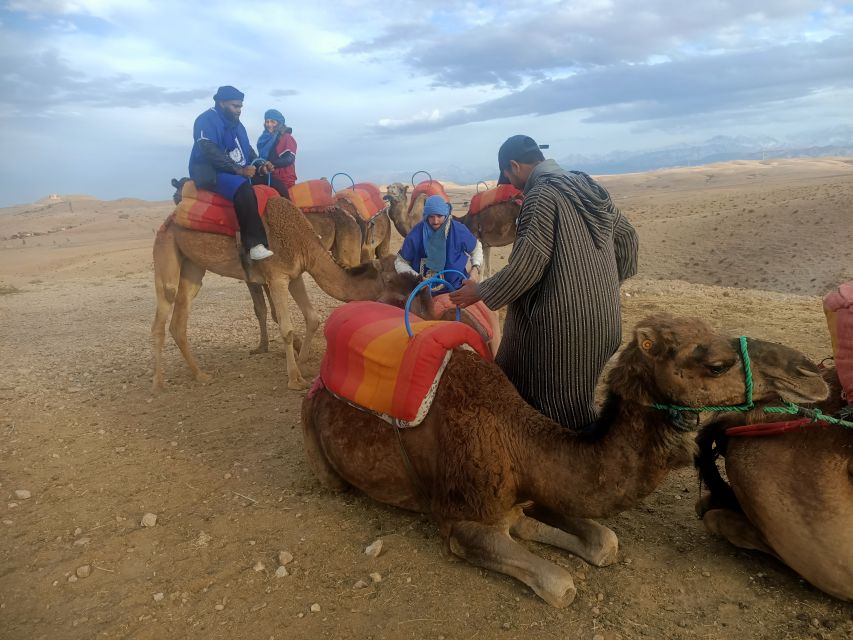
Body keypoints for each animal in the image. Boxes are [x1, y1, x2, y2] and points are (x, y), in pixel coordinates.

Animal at [152, 198, 386, 392]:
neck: (302, 239)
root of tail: (170, 218)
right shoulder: (277, 277)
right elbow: (286, 328)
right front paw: (294, 379)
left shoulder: (295, 275)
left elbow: (312, 317)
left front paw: (302, 364)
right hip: (166, 246)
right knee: (164, 305)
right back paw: (159, 383)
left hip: (193, 266)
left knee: (179, 318)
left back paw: (200, 374)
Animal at [302, 314, 828, 604]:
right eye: (716, 364)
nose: (812, 373)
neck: (517, 441)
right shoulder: (458, 521)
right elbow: (561, 584)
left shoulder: (534, 489)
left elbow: (603, 540)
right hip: (319, 446)